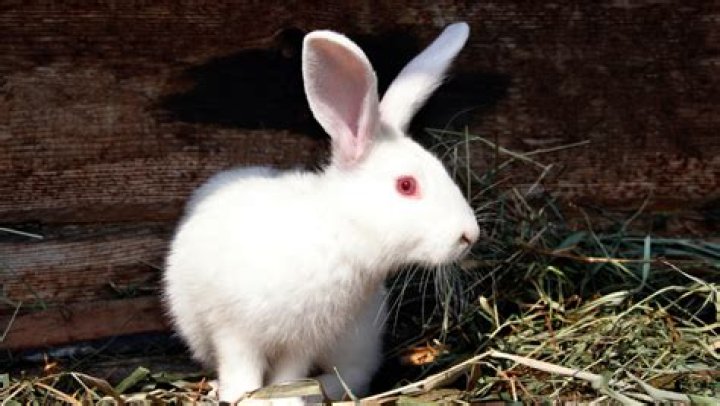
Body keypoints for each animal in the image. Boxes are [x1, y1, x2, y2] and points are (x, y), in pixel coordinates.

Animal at [163, 22, 478, 403]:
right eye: (406, 185)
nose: (470, 235)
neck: (339, 231)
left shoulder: (303, 343)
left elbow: (289, 375)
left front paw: (287, 398)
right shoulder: (234, 330)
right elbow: (243, 370)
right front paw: (241, 395)